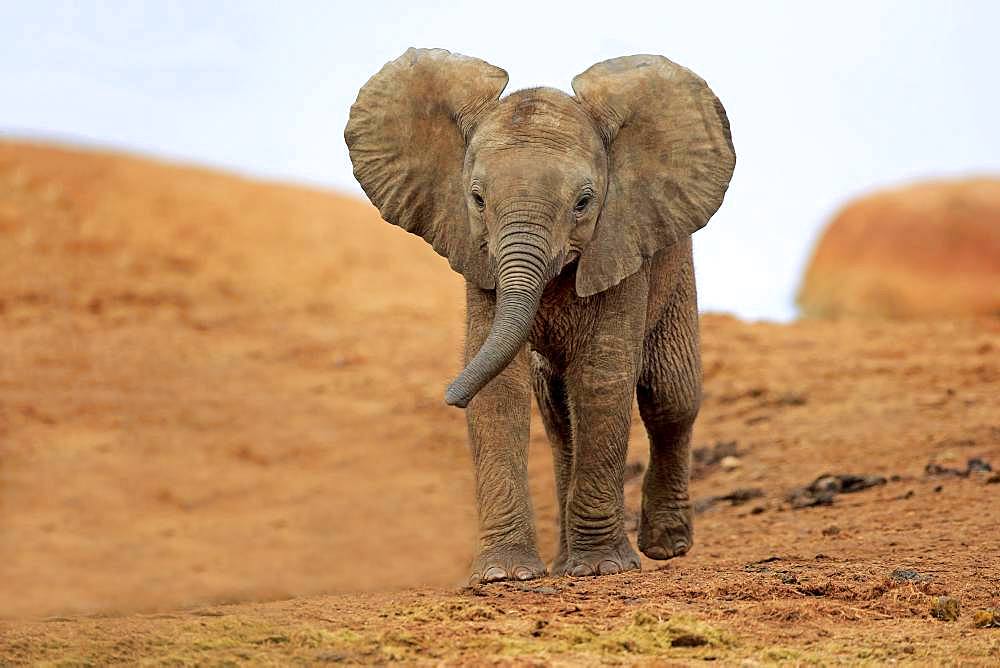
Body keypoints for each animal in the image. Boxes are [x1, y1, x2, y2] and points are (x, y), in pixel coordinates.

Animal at [344, 47, 736, 580]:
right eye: (477, 199)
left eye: (584, 202)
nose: (448, 397)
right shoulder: (481, 263)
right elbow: (501, 385)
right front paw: (505, 576)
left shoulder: (618, 245)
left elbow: (602, 377)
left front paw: (601, 570)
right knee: (557, 414)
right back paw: (567, 559)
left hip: (675, 266)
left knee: (669, 396)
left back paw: (663, 548)